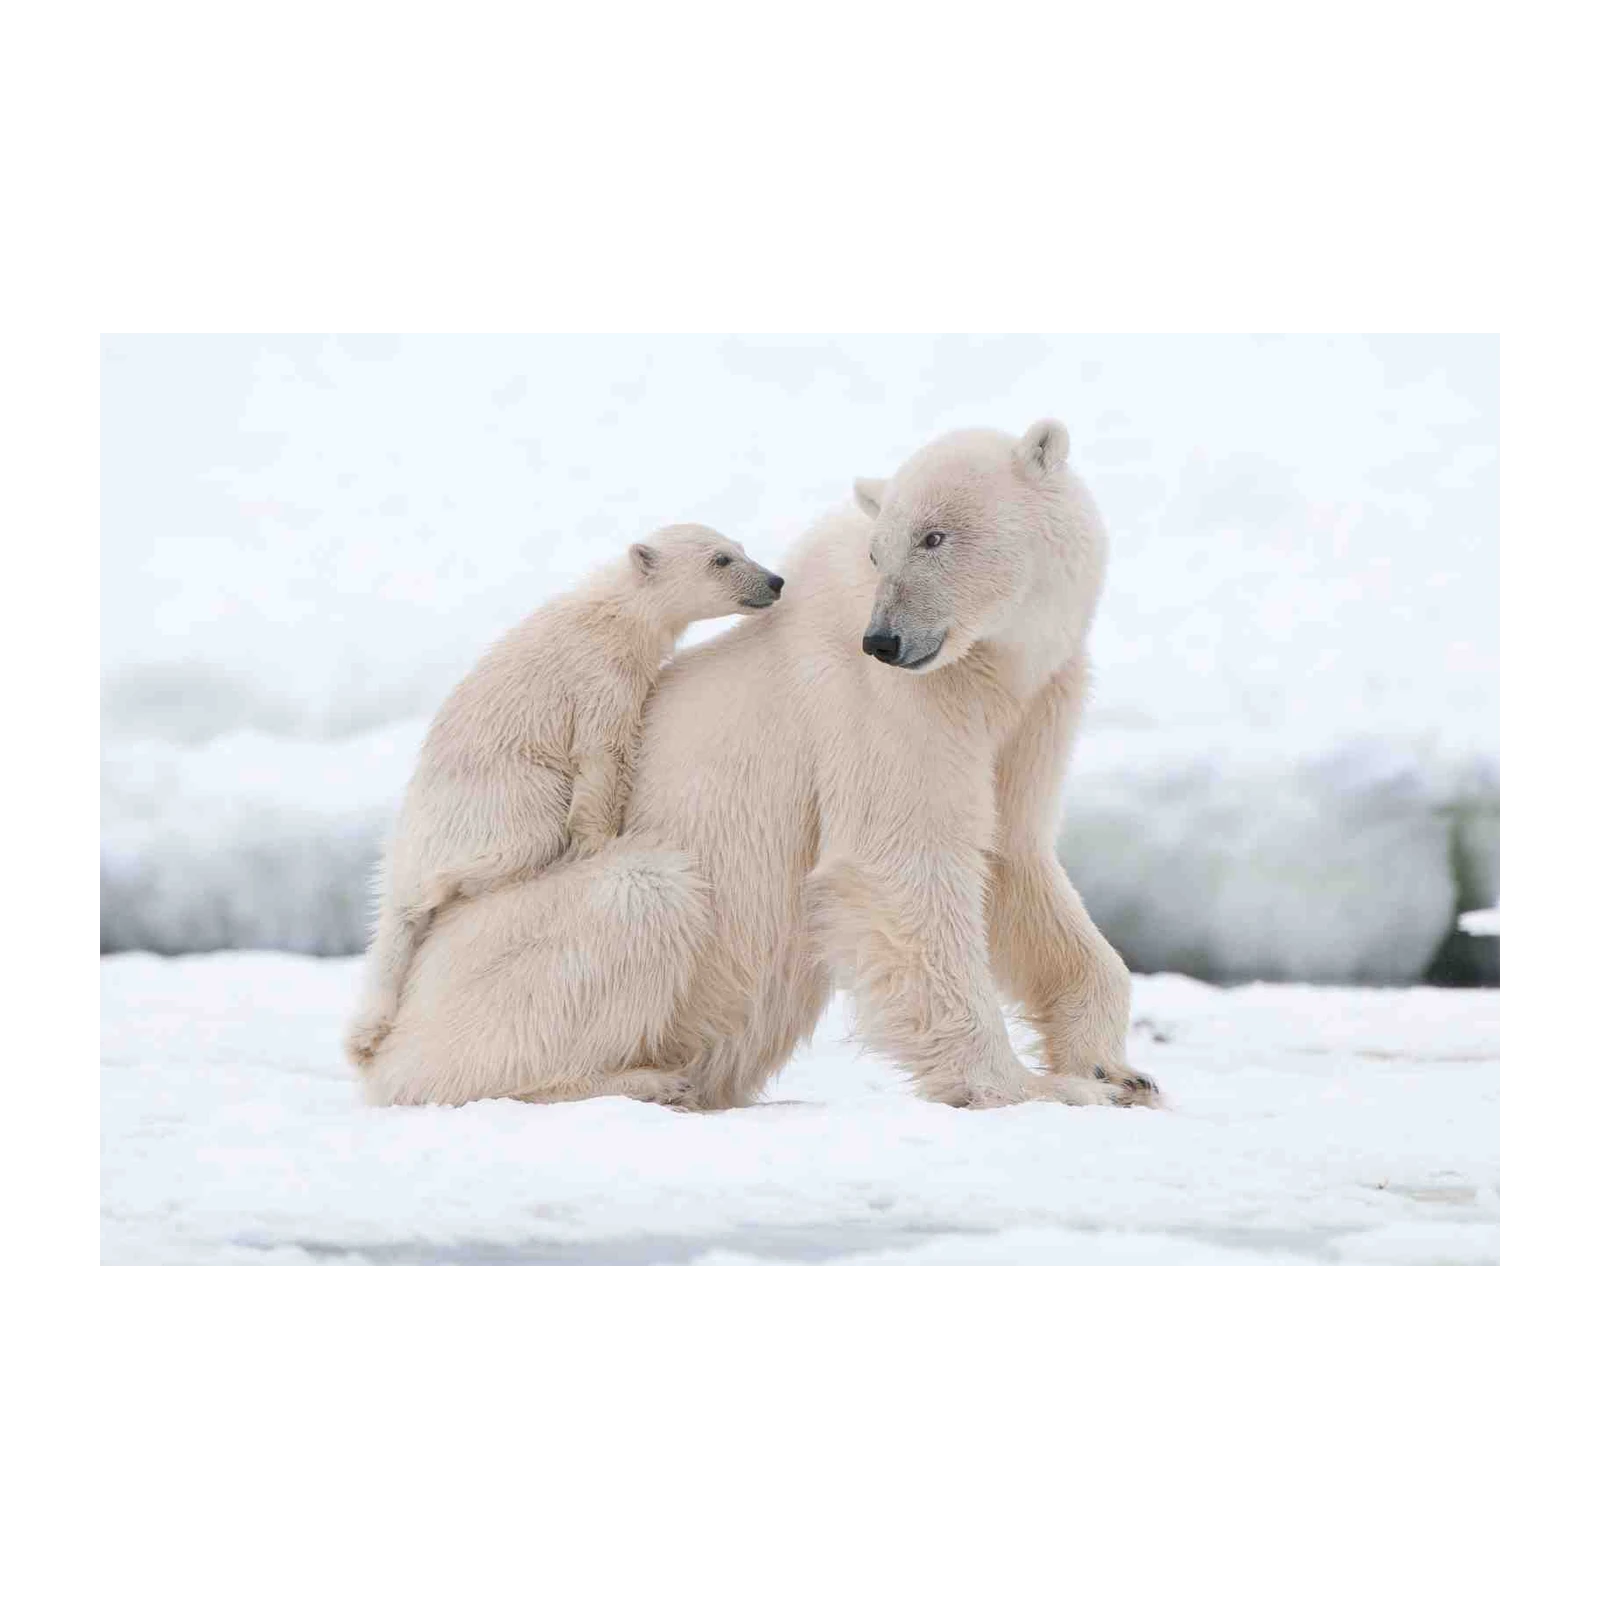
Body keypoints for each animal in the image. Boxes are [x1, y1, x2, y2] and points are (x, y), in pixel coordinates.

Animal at [343, 523, 784, 1070]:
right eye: (720, 559)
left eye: (741, 548)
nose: (775, 580)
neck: (616, 612)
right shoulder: (599, 675)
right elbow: (603, 752)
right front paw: (599, 841)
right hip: (501, 796)